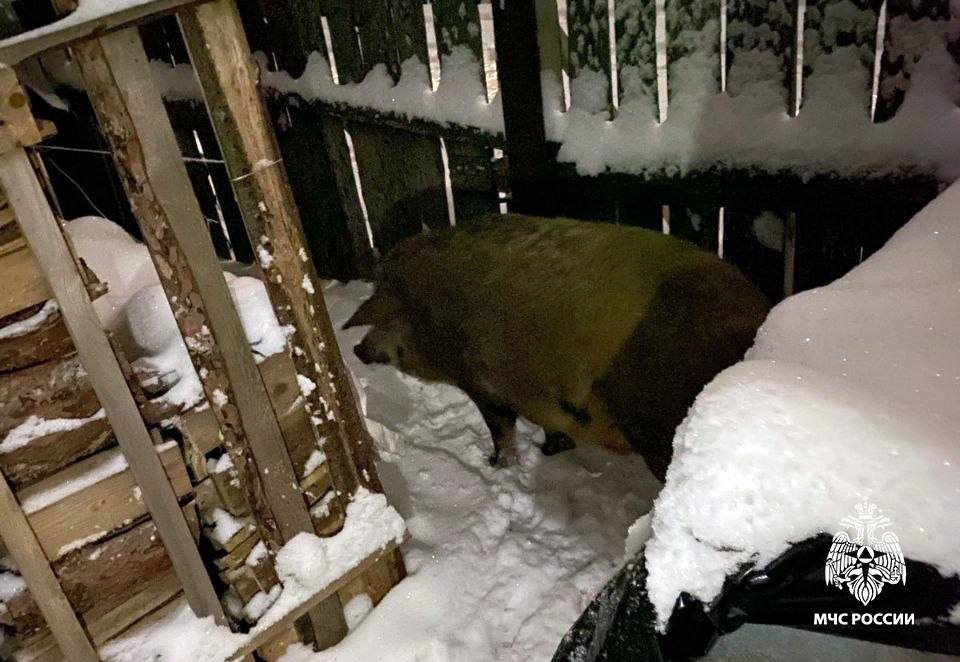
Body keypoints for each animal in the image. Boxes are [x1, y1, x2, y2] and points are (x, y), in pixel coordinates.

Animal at [342, 213, 768, 478]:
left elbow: (502, 430)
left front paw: (495, 466)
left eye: (381, 313)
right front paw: (552, 451)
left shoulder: (480, 384)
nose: (357, 350)